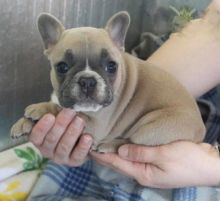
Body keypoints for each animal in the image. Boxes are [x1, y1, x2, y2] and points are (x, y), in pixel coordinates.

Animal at [10, 11, 206, 152]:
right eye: (62, 67)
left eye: (111, 66)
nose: (87, 81)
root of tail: (200, 129)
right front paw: (23, 123)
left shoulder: (96, 123)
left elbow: (62, 110)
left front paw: (41, 109)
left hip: (151, 126)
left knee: (132, 142)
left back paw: (110, 145)